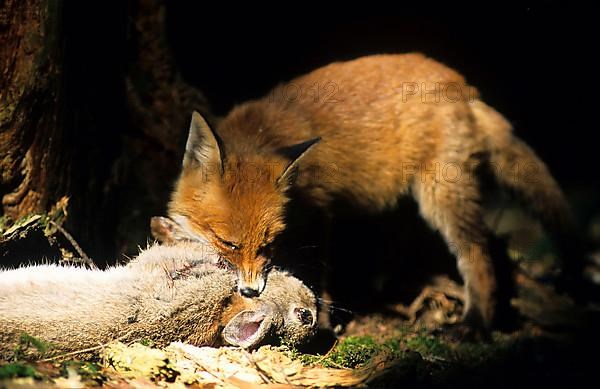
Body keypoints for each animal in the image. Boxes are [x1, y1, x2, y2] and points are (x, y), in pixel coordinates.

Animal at [168, 53, 572, 332]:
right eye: (229, 243)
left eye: (268, 244)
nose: (251, 292)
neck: (262, 135)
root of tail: (462, 86)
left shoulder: (320, 213)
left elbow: (319, 273)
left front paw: (323, 320)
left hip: (441, 197)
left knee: (477, 251)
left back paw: (475, 322)